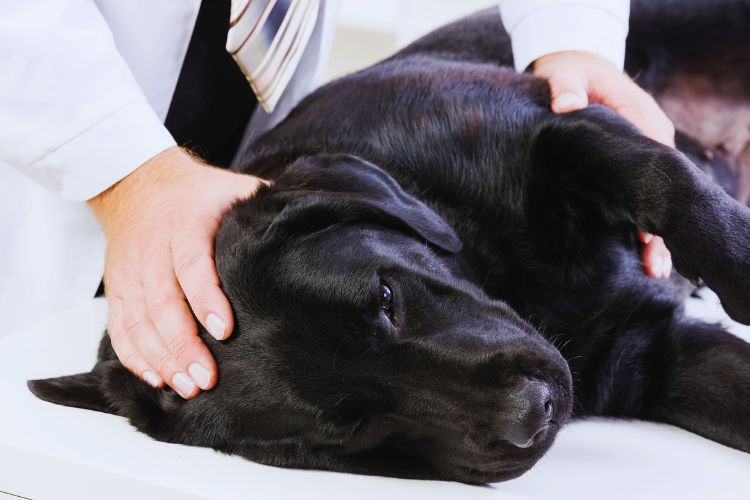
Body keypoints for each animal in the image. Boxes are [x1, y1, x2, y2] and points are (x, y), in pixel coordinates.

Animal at [29, 0, 750, 484]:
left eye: (385, 297)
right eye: (352, 427)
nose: (534, 412)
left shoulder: (566, 127)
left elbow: (669, 185)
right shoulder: (652, 360)